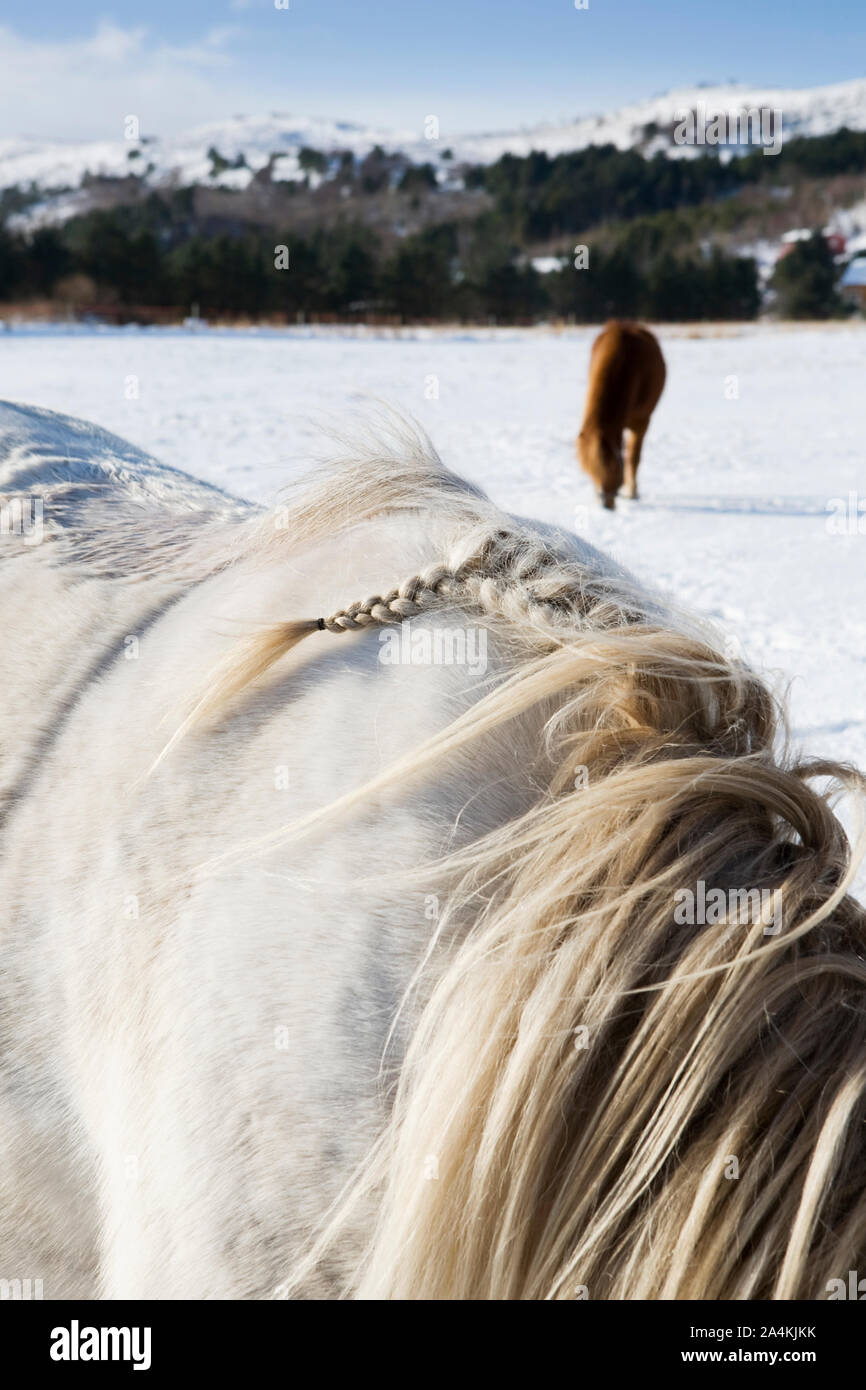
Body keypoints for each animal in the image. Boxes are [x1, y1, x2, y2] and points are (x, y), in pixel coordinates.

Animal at [578, 322, 667, 508]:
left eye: (614, 472)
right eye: (591, 471)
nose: (606, 505)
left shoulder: (641, 422)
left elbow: (633, 457)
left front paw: (632, 492)